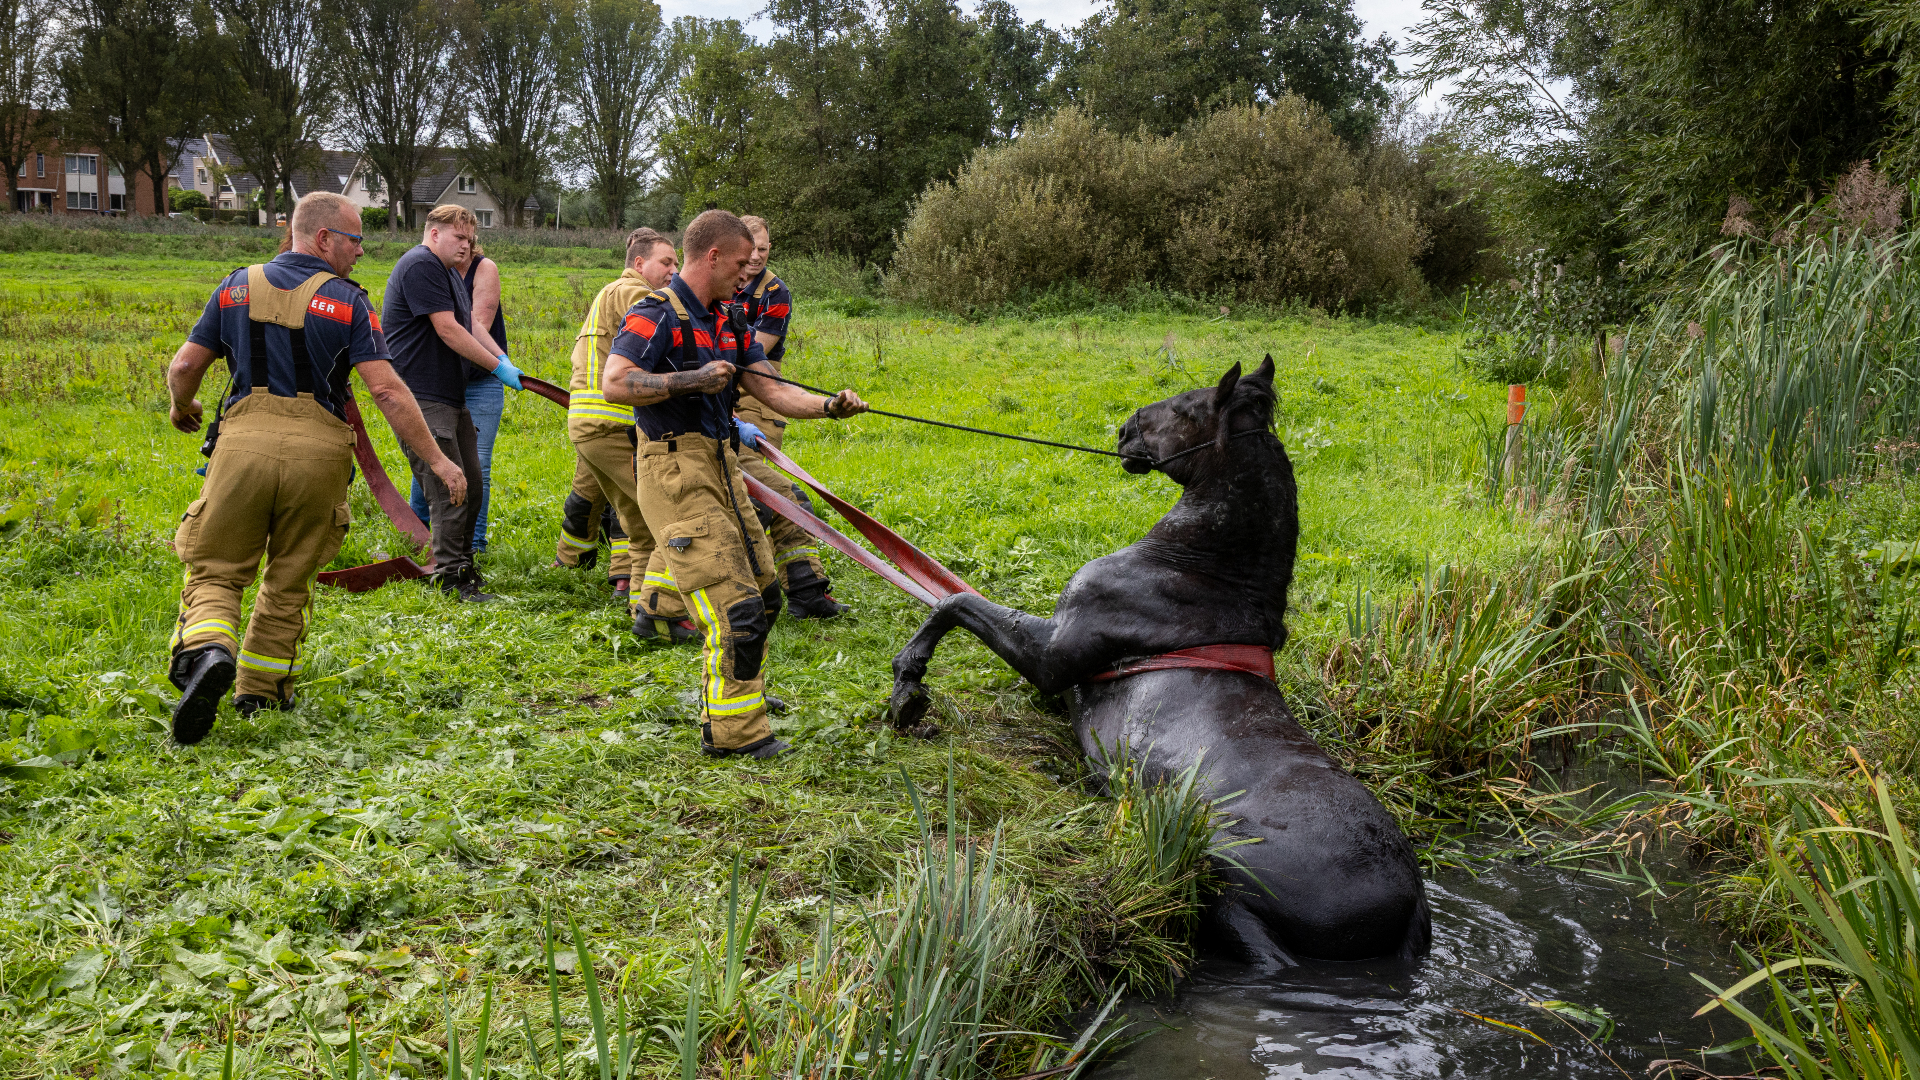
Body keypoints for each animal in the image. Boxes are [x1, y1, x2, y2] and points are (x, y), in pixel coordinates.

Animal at [887, 357, 1430, 965]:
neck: (1197, 571)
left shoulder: (1051, 655)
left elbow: (952, 602)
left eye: (1187, 406)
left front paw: (908, 685)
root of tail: (1406, 905)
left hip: (1221, 865)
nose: (1124, 430)